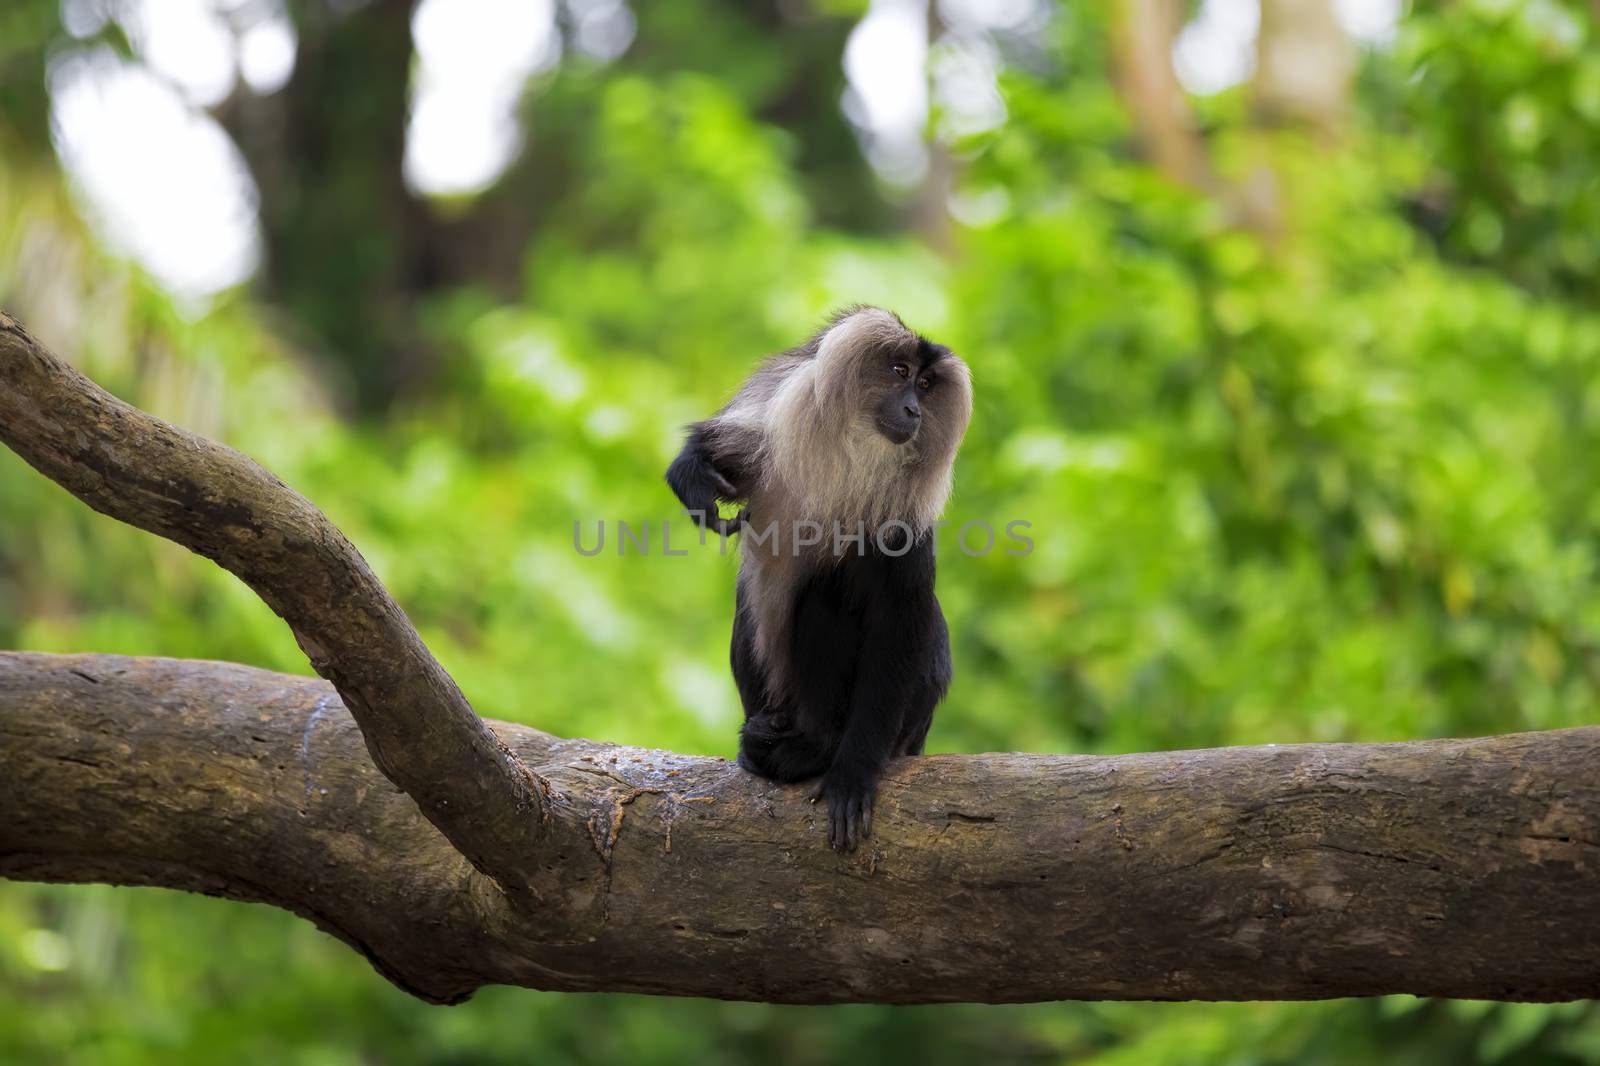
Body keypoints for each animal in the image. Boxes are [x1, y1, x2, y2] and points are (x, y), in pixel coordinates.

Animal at [665, 305, 972, 845]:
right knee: (749, 606)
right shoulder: (775, 427)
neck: (850, 463)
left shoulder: (905, 515)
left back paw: (816, 750)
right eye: (900, 372)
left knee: (825, 600)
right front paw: (695, 477)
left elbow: (901, 616)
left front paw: (853, 771)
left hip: (906, 721)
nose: (914, 411)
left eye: (927, 385)